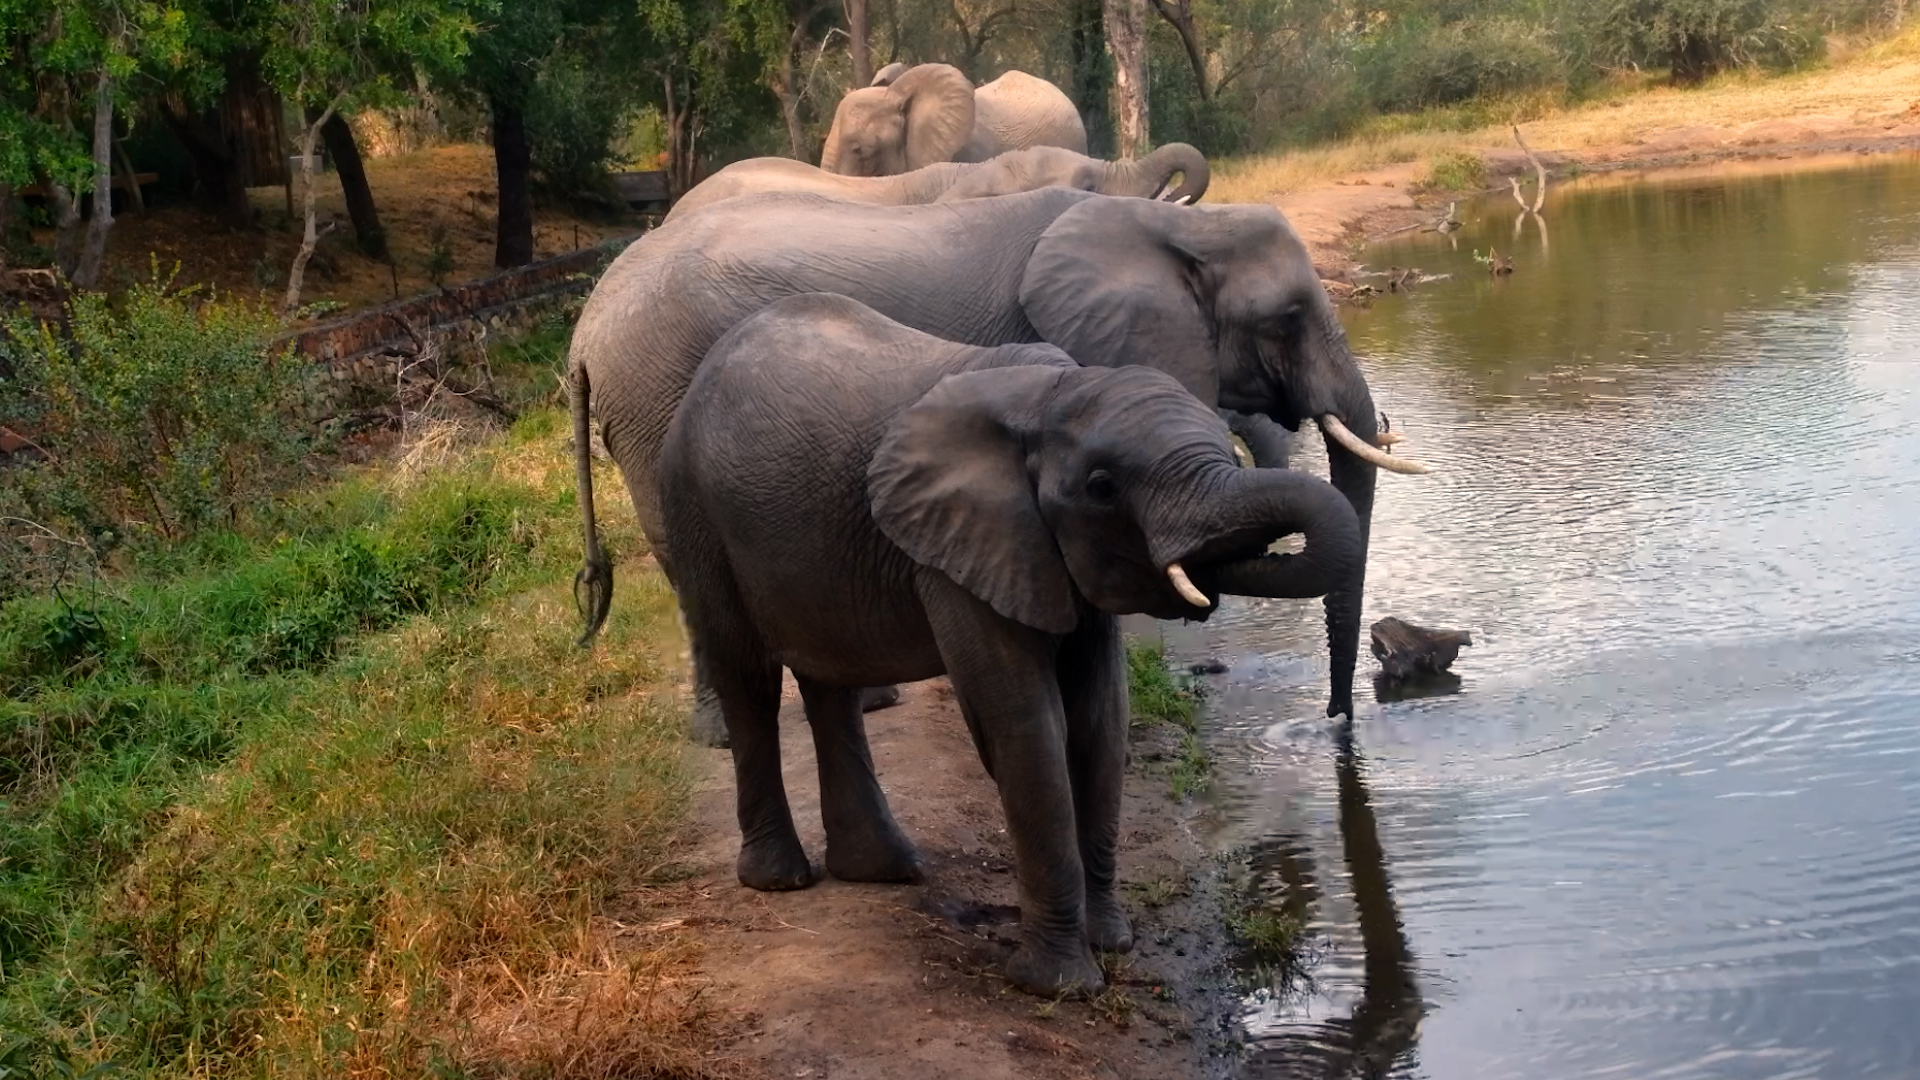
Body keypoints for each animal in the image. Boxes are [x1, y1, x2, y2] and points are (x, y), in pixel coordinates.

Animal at [568, 188, 1426, 747]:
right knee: (680, 555)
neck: (1168, 222)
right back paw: (721, 734)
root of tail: (585, 327)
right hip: (654, 397)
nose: (1336, 723)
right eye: (1286, 319)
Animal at [657, 291, 1364, 992]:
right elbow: (1026, 725)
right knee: (748, 679)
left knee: (829, 679)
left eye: (1231, 455)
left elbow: (1101, 720)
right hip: (691, 509)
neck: (1049, 396)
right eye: (1102, 488)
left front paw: (1114, 944)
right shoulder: (957, 544)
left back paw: (883, 870)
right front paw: (1060, 985)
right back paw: (780, 880)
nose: (1338, 717)